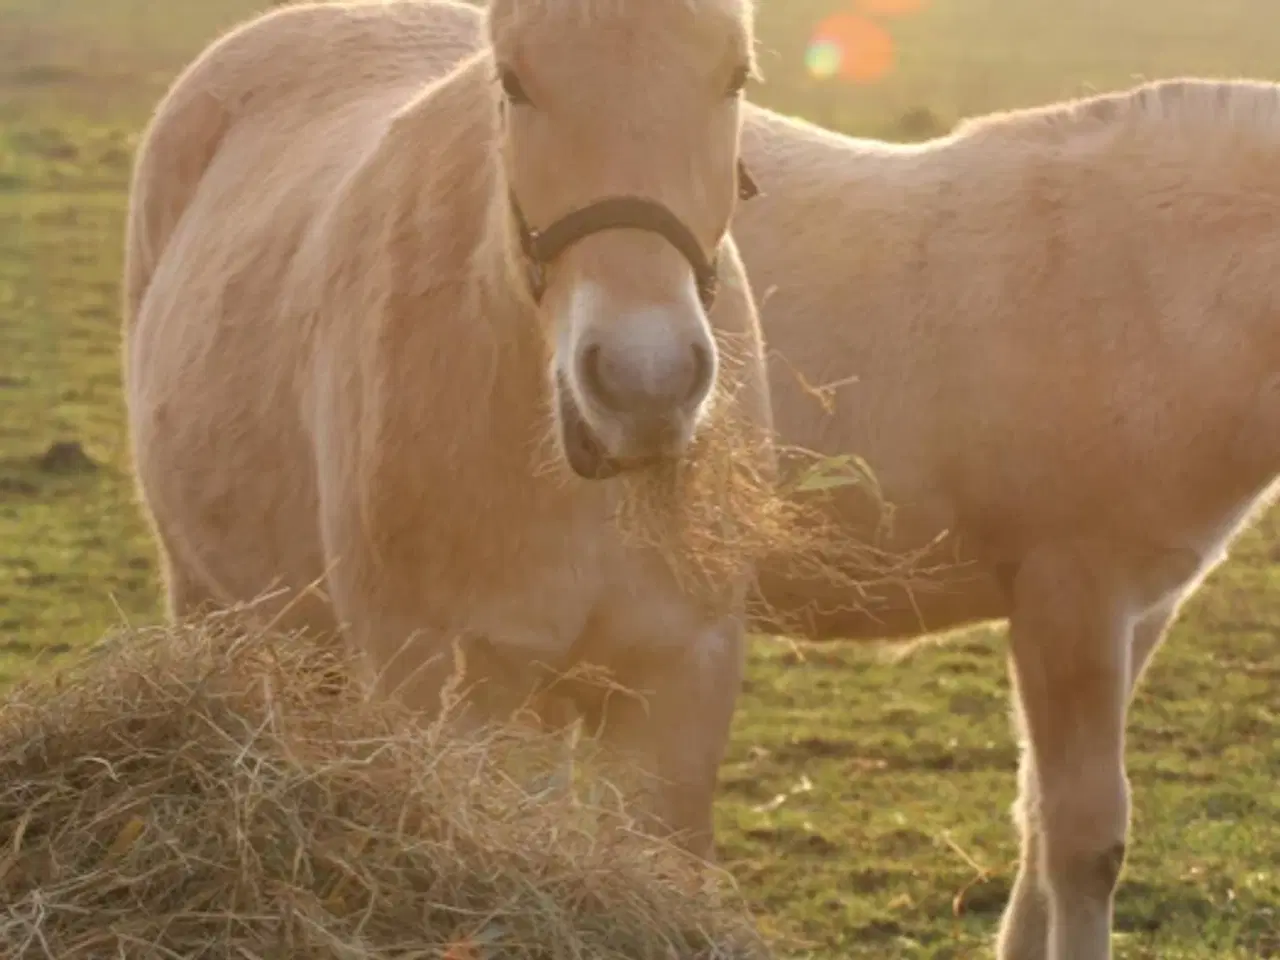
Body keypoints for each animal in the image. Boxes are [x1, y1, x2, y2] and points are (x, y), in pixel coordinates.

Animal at [124, 0, 768, 855]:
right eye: (514, 82)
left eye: (735, 74)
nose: (645, 381)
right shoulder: (429, 681)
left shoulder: (682, 680)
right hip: (206, 597)